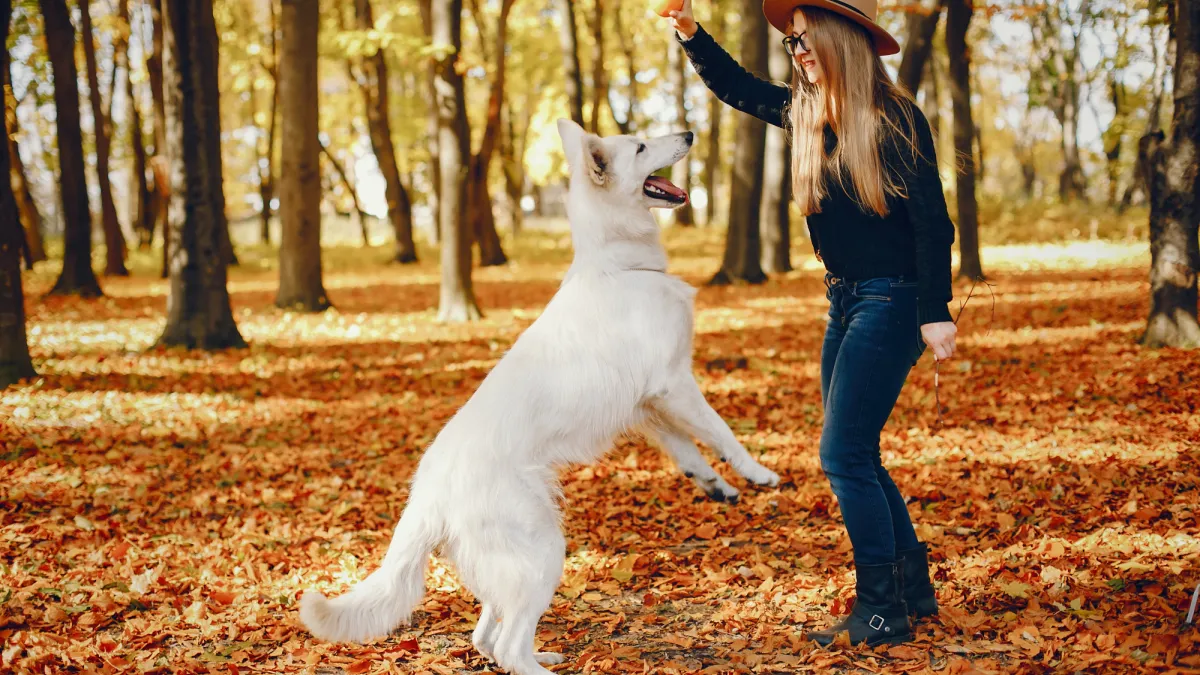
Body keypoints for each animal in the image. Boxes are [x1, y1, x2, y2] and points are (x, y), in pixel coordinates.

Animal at [300, 118, 782, 667]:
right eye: (640, 146)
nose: (688, 133)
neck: (620, 266)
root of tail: (428, 494)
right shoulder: (674, 385)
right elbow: (722, 432)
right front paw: (758, 472)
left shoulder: (648, 405)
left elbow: (686, 451)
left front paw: (715, 485)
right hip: (544, 548)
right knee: (507, 646)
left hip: (509, 564)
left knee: (487, 638)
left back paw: (541, 656)